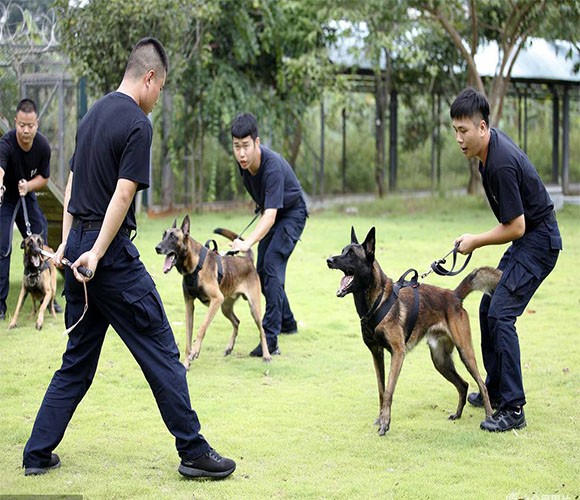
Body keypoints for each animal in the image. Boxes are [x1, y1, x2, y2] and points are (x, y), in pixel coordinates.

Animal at [155, 216, 270, 372]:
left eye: (173, 237)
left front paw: (195, 350)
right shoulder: (189, 305)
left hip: (253, 308)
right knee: (236, 321)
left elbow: (202, 327)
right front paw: (186, 363)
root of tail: (248, 260)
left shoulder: (216, 299)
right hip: (225, 307)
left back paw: (266, 355)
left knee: (262, 331)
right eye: (163, 235)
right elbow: (188, 339)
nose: (157, 248)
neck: (195, 266)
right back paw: (229, 347)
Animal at [326, 227, 498, 434]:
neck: (377, 301)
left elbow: (389, 391)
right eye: (343, 251)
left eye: (351, 254)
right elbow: (381, 390)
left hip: (465, 352)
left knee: (482, 384)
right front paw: (380, 418)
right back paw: (457, 414)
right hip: (440, 361)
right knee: (463, 384)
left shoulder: (398, 353)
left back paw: (489, 417)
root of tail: (454, 295)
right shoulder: (377, 353)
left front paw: (385, 424)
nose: (329, 260)